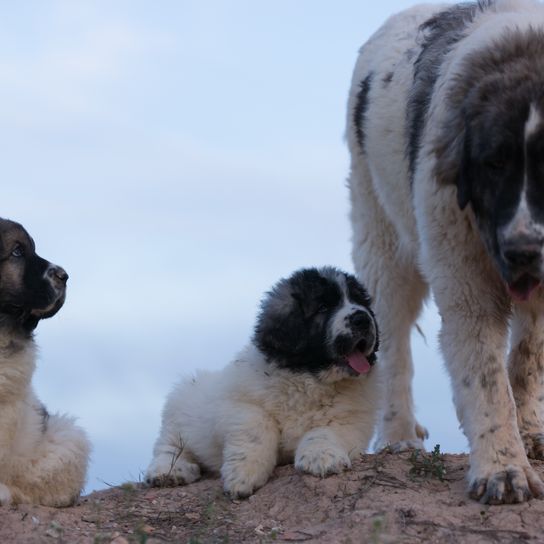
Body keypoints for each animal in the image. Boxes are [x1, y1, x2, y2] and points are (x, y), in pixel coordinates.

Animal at [147, 266, 380, 500]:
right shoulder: (237, 405)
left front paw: (321, 457)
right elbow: (256, 426)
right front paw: (243, 475)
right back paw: (170, 471)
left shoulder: (352, 418)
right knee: (169, 448)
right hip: (177, 413)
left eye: (360, 302)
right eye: (323, 307)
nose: (362, 318)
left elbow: (325, 431)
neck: (310, 378)